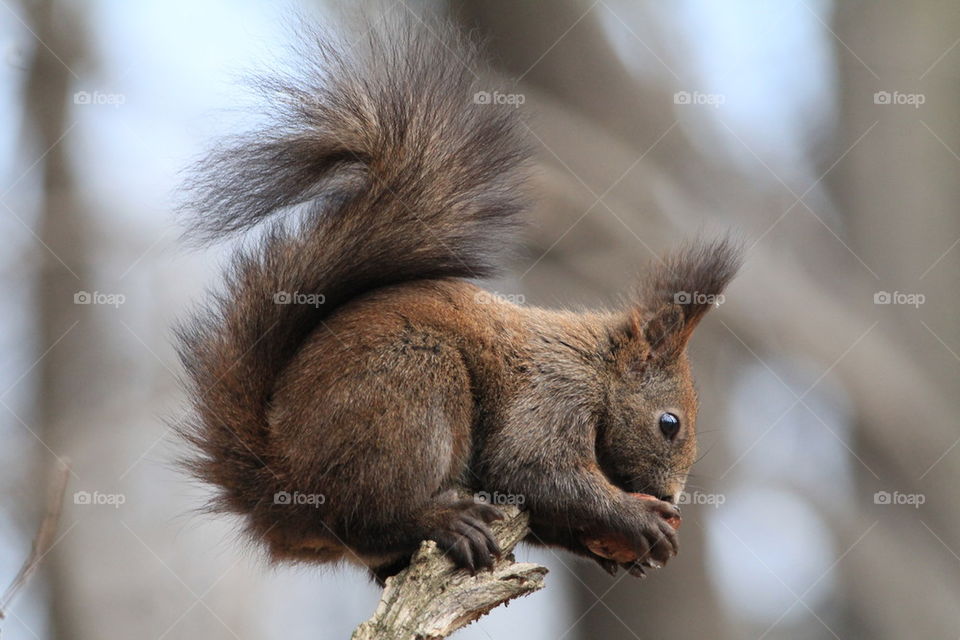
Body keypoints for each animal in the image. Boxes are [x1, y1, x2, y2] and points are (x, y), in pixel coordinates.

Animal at [174, 15, 744, 584]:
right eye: (669, 424)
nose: (670, 495)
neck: (595, 367)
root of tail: (278, 482)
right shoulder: (554, 396)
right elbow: (529, 468)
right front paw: (634, 517)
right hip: (411, 388)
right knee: (370, 517)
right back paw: (443, 520)